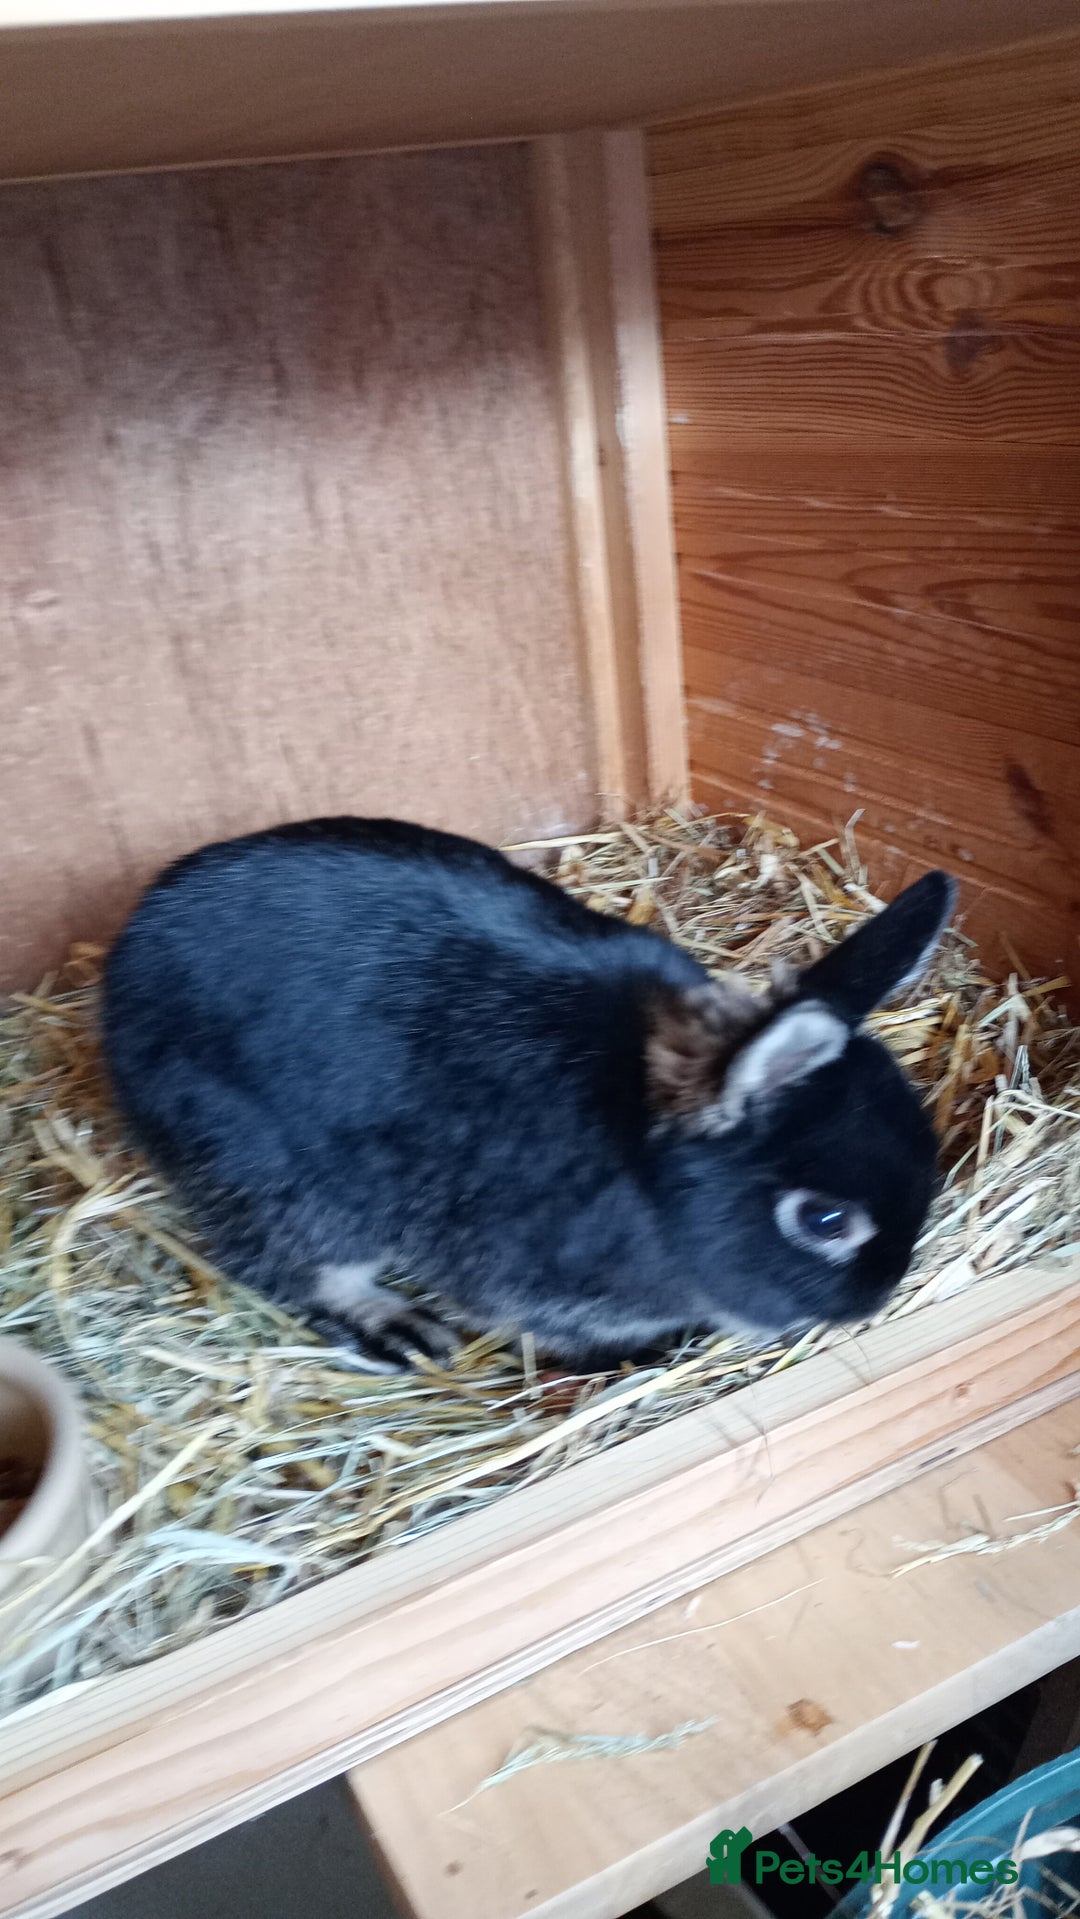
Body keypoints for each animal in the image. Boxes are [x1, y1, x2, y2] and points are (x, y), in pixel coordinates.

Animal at [101, 816, 956, 1371]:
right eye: (823, 1221)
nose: (874, 1301)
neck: (642, 1156)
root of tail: (122, 966)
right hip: (275, 1181)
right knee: (294, 1268)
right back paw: (399, 1331)